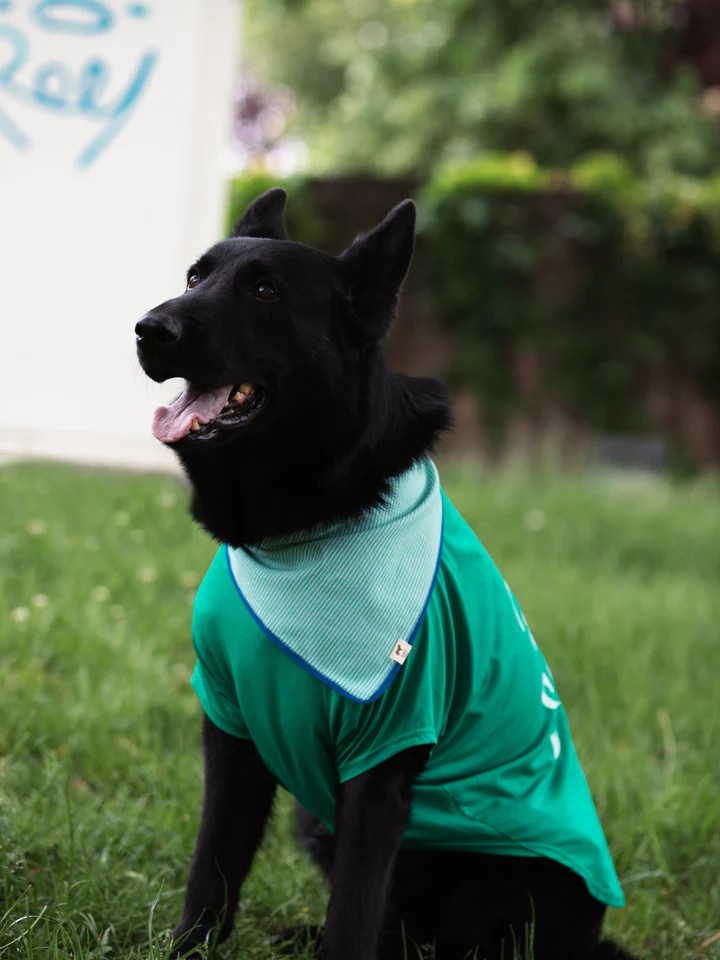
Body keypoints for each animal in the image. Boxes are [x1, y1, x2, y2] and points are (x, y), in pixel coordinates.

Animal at [136, 189, 636, 960]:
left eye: (263, 291)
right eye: (196, 277)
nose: (146, 329)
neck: (299, 534)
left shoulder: (382, 762)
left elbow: (352, 913)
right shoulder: (232, 727)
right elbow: (212, 871)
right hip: (317, 820)